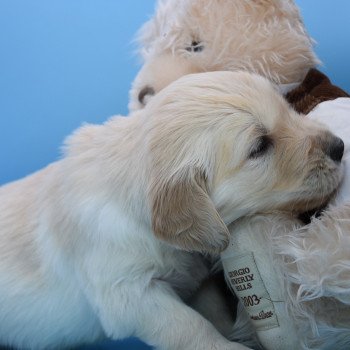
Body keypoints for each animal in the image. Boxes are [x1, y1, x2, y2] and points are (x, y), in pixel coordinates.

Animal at [0, 72, 344, 350]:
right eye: (260, 146)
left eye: (287, 107)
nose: (339, 146)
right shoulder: (126, 291)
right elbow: (188, 327)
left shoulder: (192, 277)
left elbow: (213, 312)